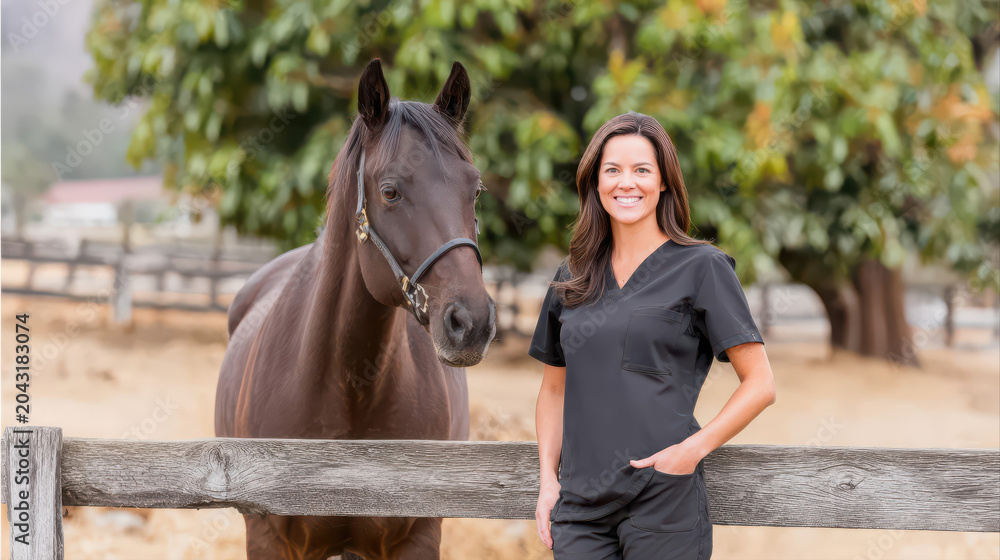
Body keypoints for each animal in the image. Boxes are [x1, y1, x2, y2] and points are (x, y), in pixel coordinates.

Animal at [215, 58, 497, 559]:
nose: (472, 323)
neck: (348, 387)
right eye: (390, 192)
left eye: (476, 190)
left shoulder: (418, 537)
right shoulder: (269, 538)